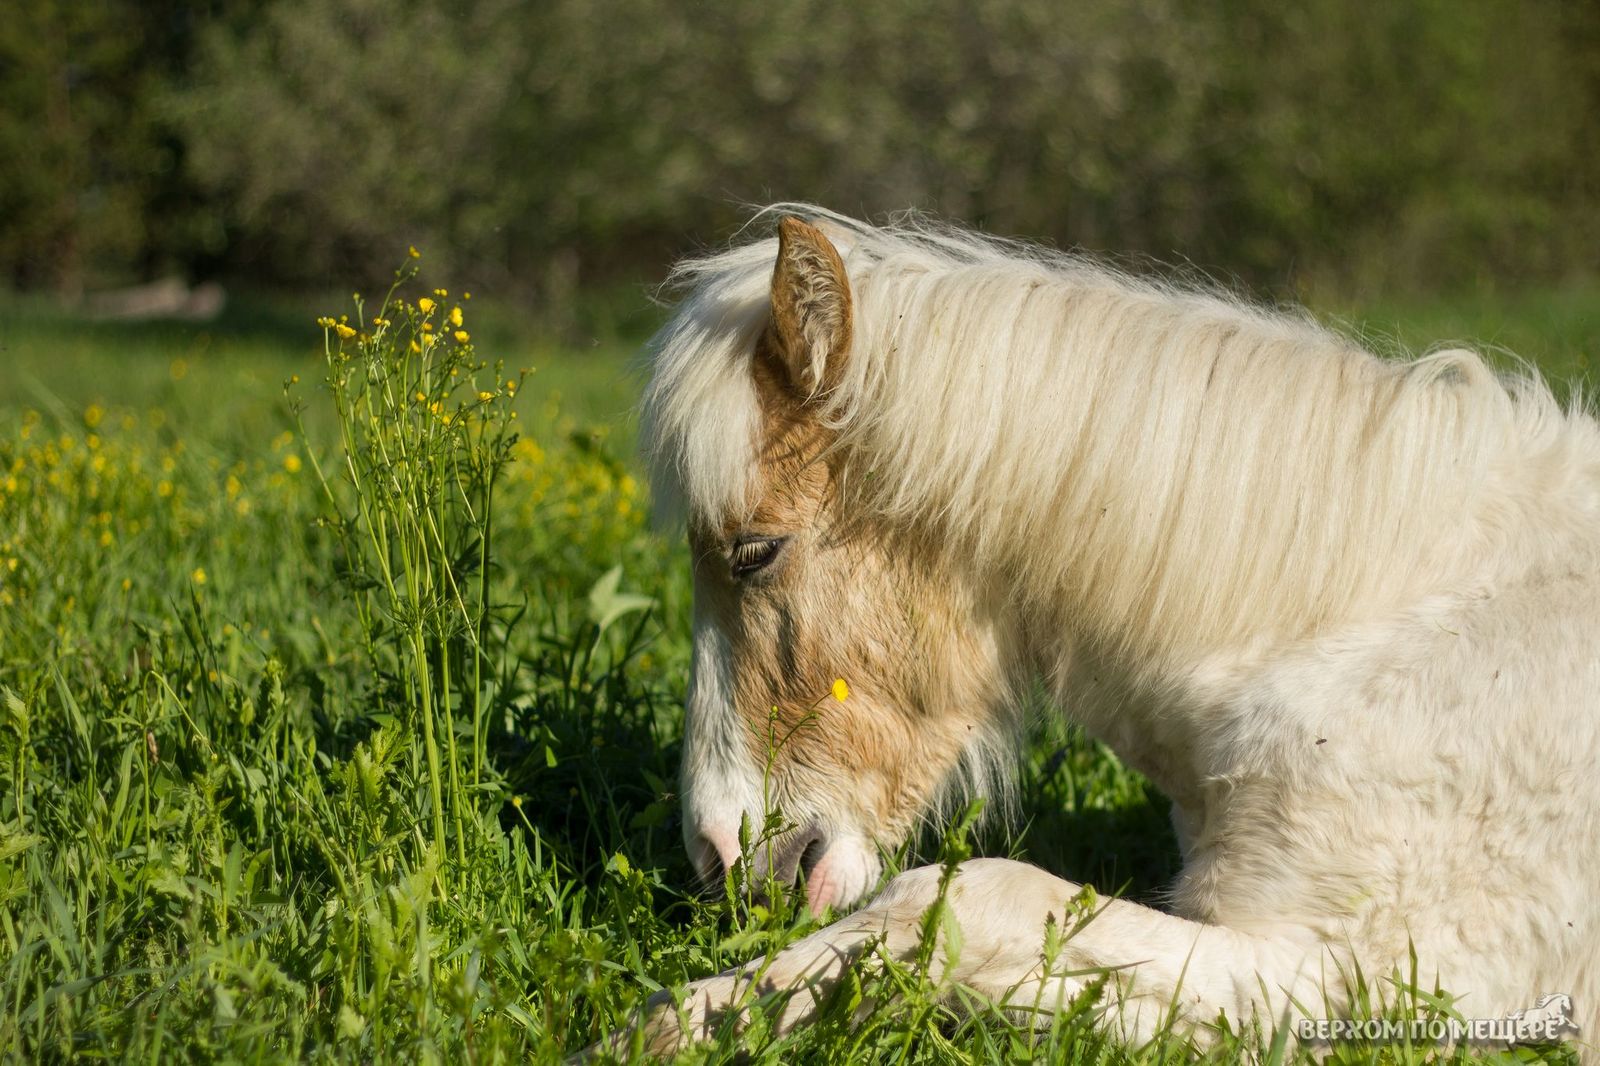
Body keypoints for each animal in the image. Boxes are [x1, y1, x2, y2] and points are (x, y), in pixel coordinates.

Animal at [617, 204, 1593, 1056]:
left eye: (754, 553)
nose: (720, 857)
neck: (1365, 621)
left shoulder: (1368, 978)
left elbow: (960, 899)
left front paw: (681, 1022)